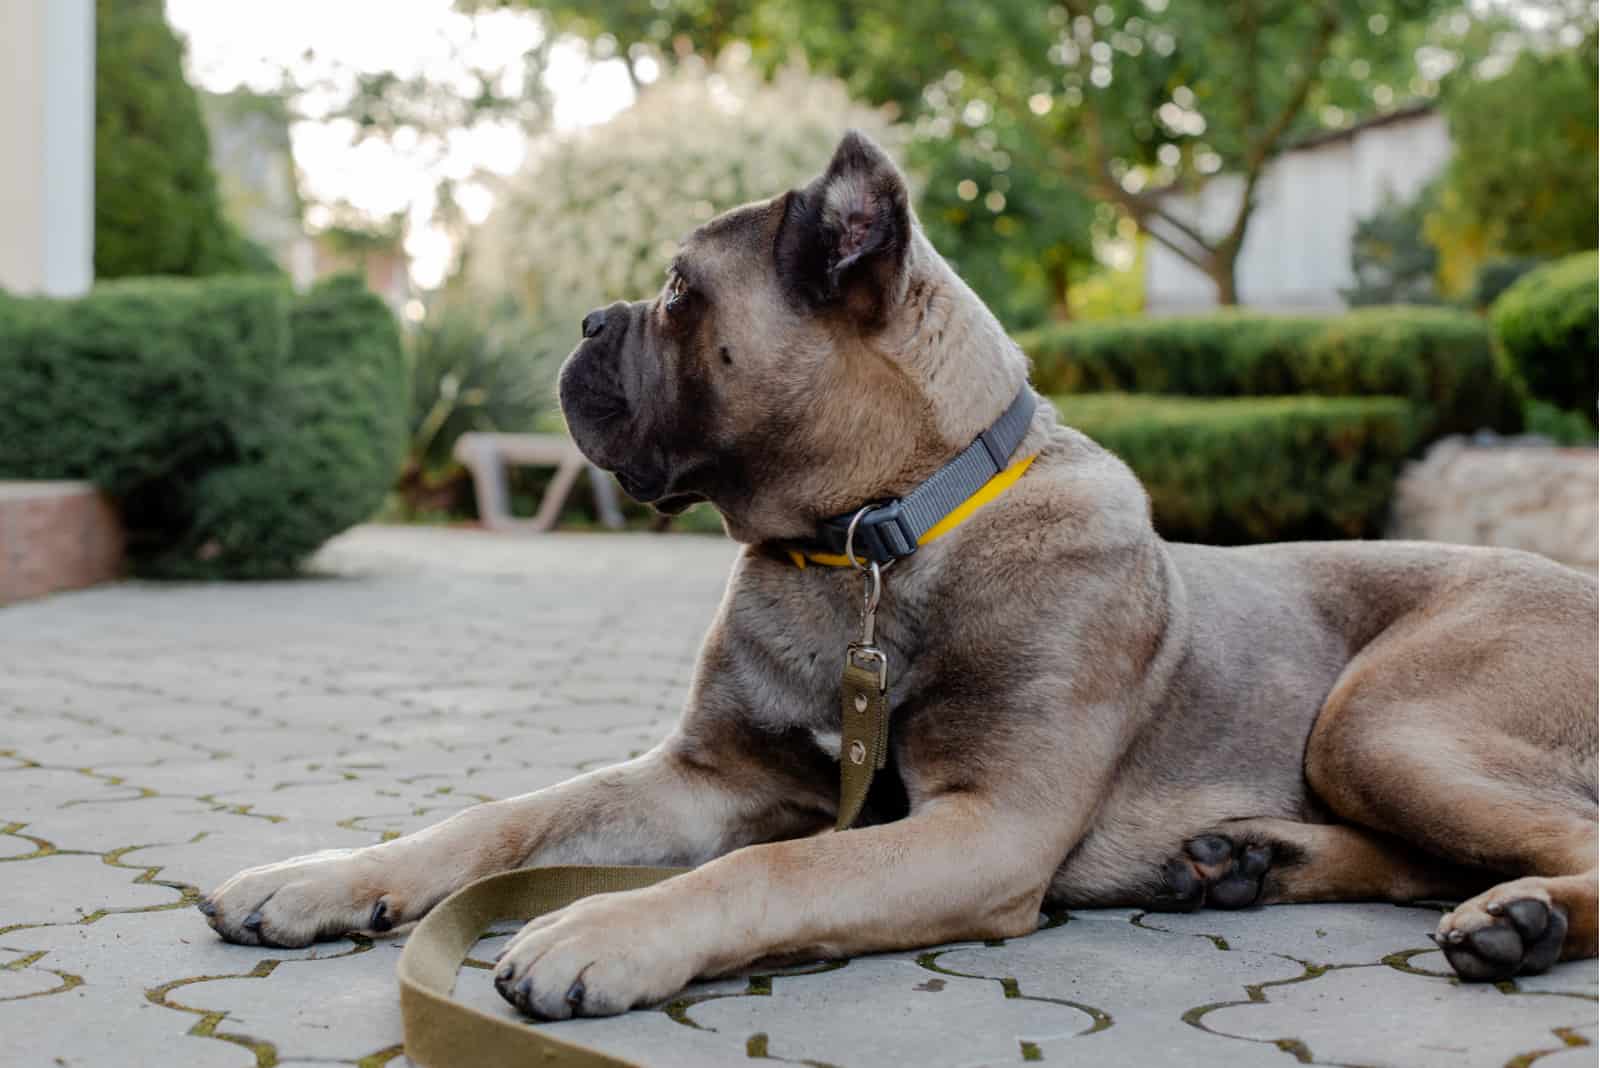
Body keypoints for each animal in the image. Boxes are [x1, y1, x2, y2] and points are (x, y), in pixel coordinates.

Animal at [200, 129, 1600, 1016]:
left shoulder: (985, 824)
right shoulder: (704, 776)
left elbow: (776, 869)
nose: (593, 322)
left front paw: (604, 928)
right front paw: (325, 880)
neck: (869, 540)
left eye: (679, 290)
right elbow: (509, 817)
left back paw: (1519, 919)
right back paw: (1249, 862)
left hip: (1382, 716)